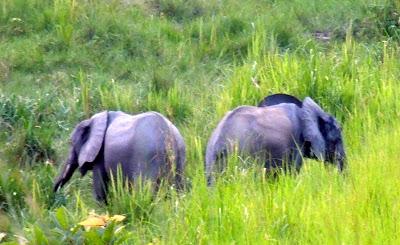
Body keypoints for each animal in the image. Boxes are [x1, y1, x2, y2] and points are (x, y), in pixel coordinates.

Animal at [53, 110, 186, 201]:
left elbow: (100, 186)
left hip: (149, 157)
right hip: (179, 157)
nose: (54, 195)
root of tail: (169, 135)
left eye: (71, 143)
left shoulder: (100, 154)